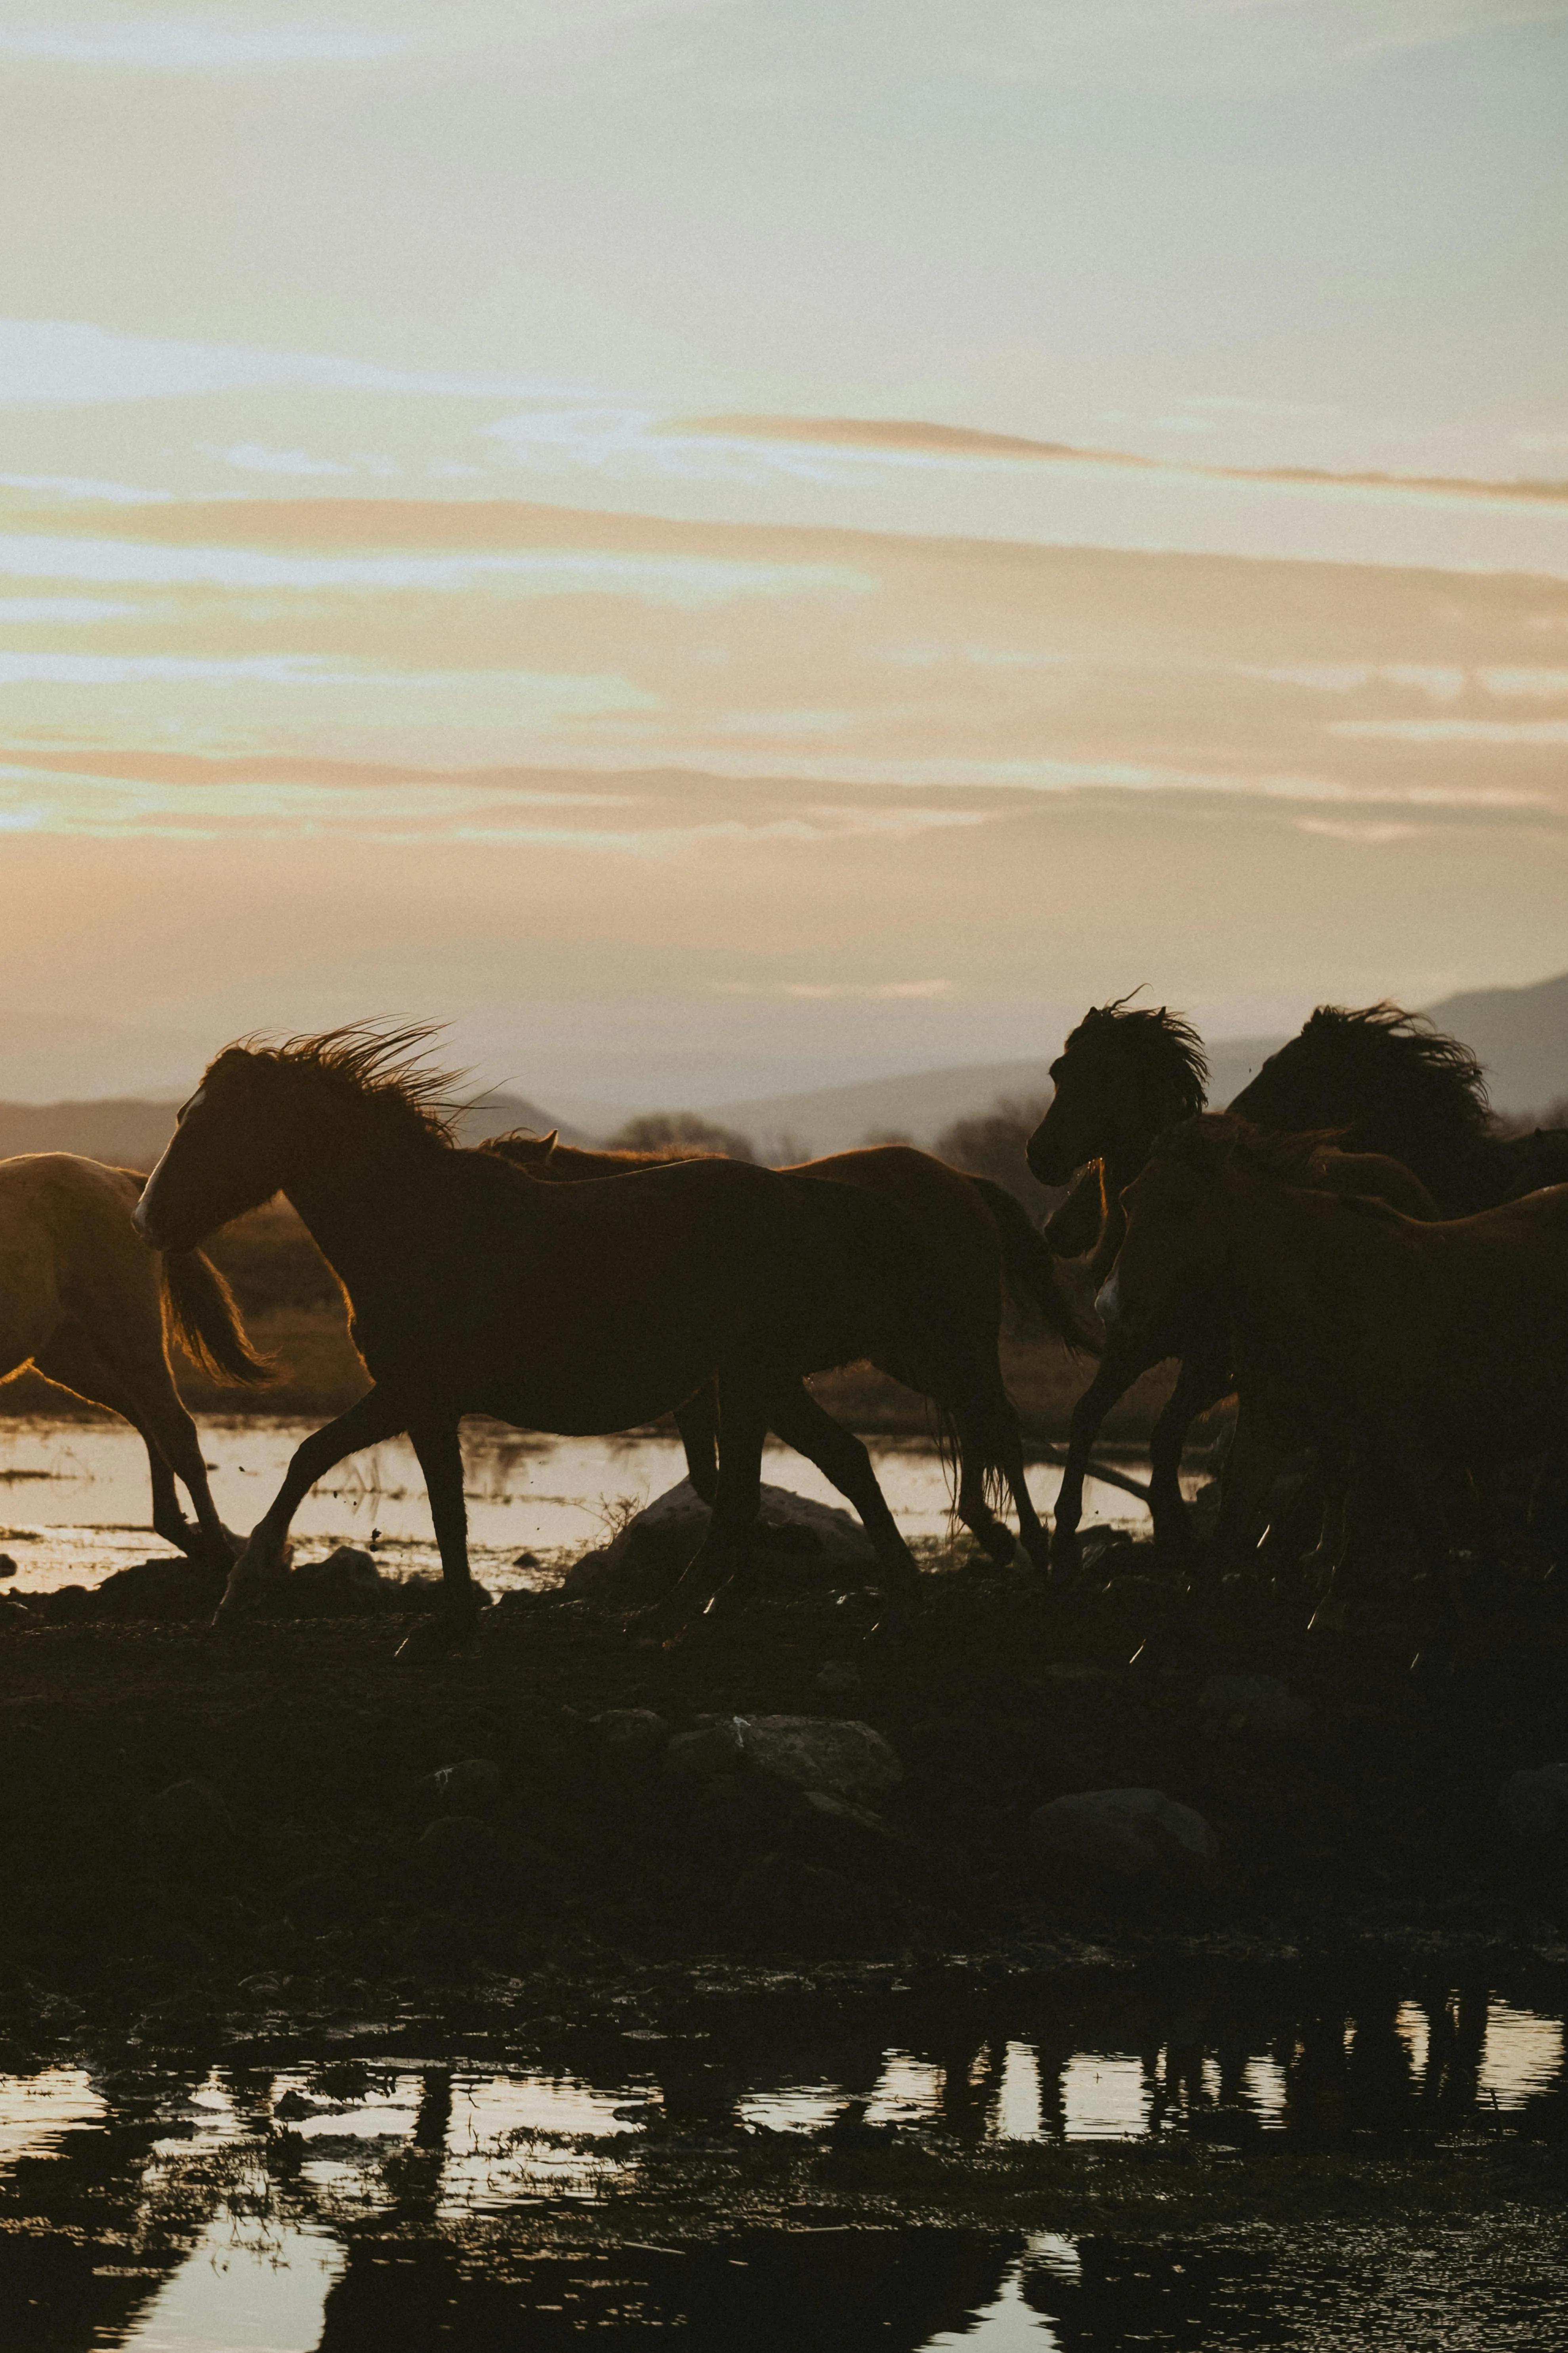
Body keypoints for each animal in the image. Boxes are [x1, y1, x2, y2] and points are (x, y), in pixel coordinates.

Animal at [0, 1152, 267, 1568]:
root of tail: (121, 1180)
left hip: (127, 1331)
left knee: (174, 1428)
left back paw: (218, 1554)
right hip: (69, 1354)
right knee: (148, 1419)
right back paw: (180, 1530)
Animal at [132, 1029, 1027, 1653]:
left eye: (214, 1125)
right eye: (182, 1117)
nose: (147, 1219)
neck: (421, 1225)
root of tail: (816, 1199)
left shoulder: (417, 1393)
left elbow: (353, 1474)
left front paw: (246, 1597)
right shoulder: (419, 1400)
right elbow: (406, 1493)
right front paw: (441, 1621)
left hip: (756, 1377)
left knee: (770, 1488)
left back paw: (671, 1616)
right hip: (763, 1380)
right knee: (835, 1465)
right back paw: (889, 1608)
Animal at [487, 1129, 1098, 1571]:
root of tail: (961, 1181)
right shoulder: (703, 1386)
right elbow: (708, 1477)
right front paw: (786, 1538)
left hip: (955, 1341)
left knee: (997, 1424)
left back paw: (1028, 1541)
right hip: (913, 1353)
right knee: (977, 1420)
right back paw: (992, 1531)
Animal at [1096, 1115, 1568, 1595]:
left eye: (1183, 1204)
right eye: (1127, 1199)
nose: (1109, 1305)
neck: (1322, 1286)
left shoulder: (1396, 1440)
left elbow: (1419, 1538)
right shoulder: (1266, 1431)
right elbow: (1227, 1535)